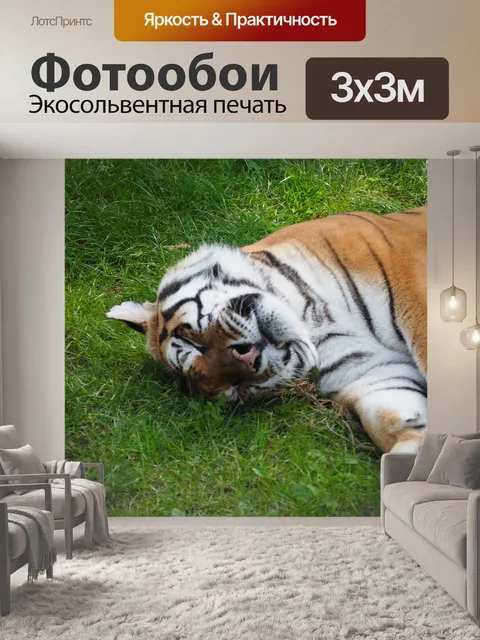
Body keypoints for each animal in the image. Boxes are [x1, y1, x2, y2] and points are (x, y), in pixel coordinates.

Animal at [107, 207, 427, 454]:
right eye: (236, 389)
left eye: (193, 342)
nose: (249, 359)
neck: (311, 319)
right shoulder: (369, 370)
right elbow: (392, 416)